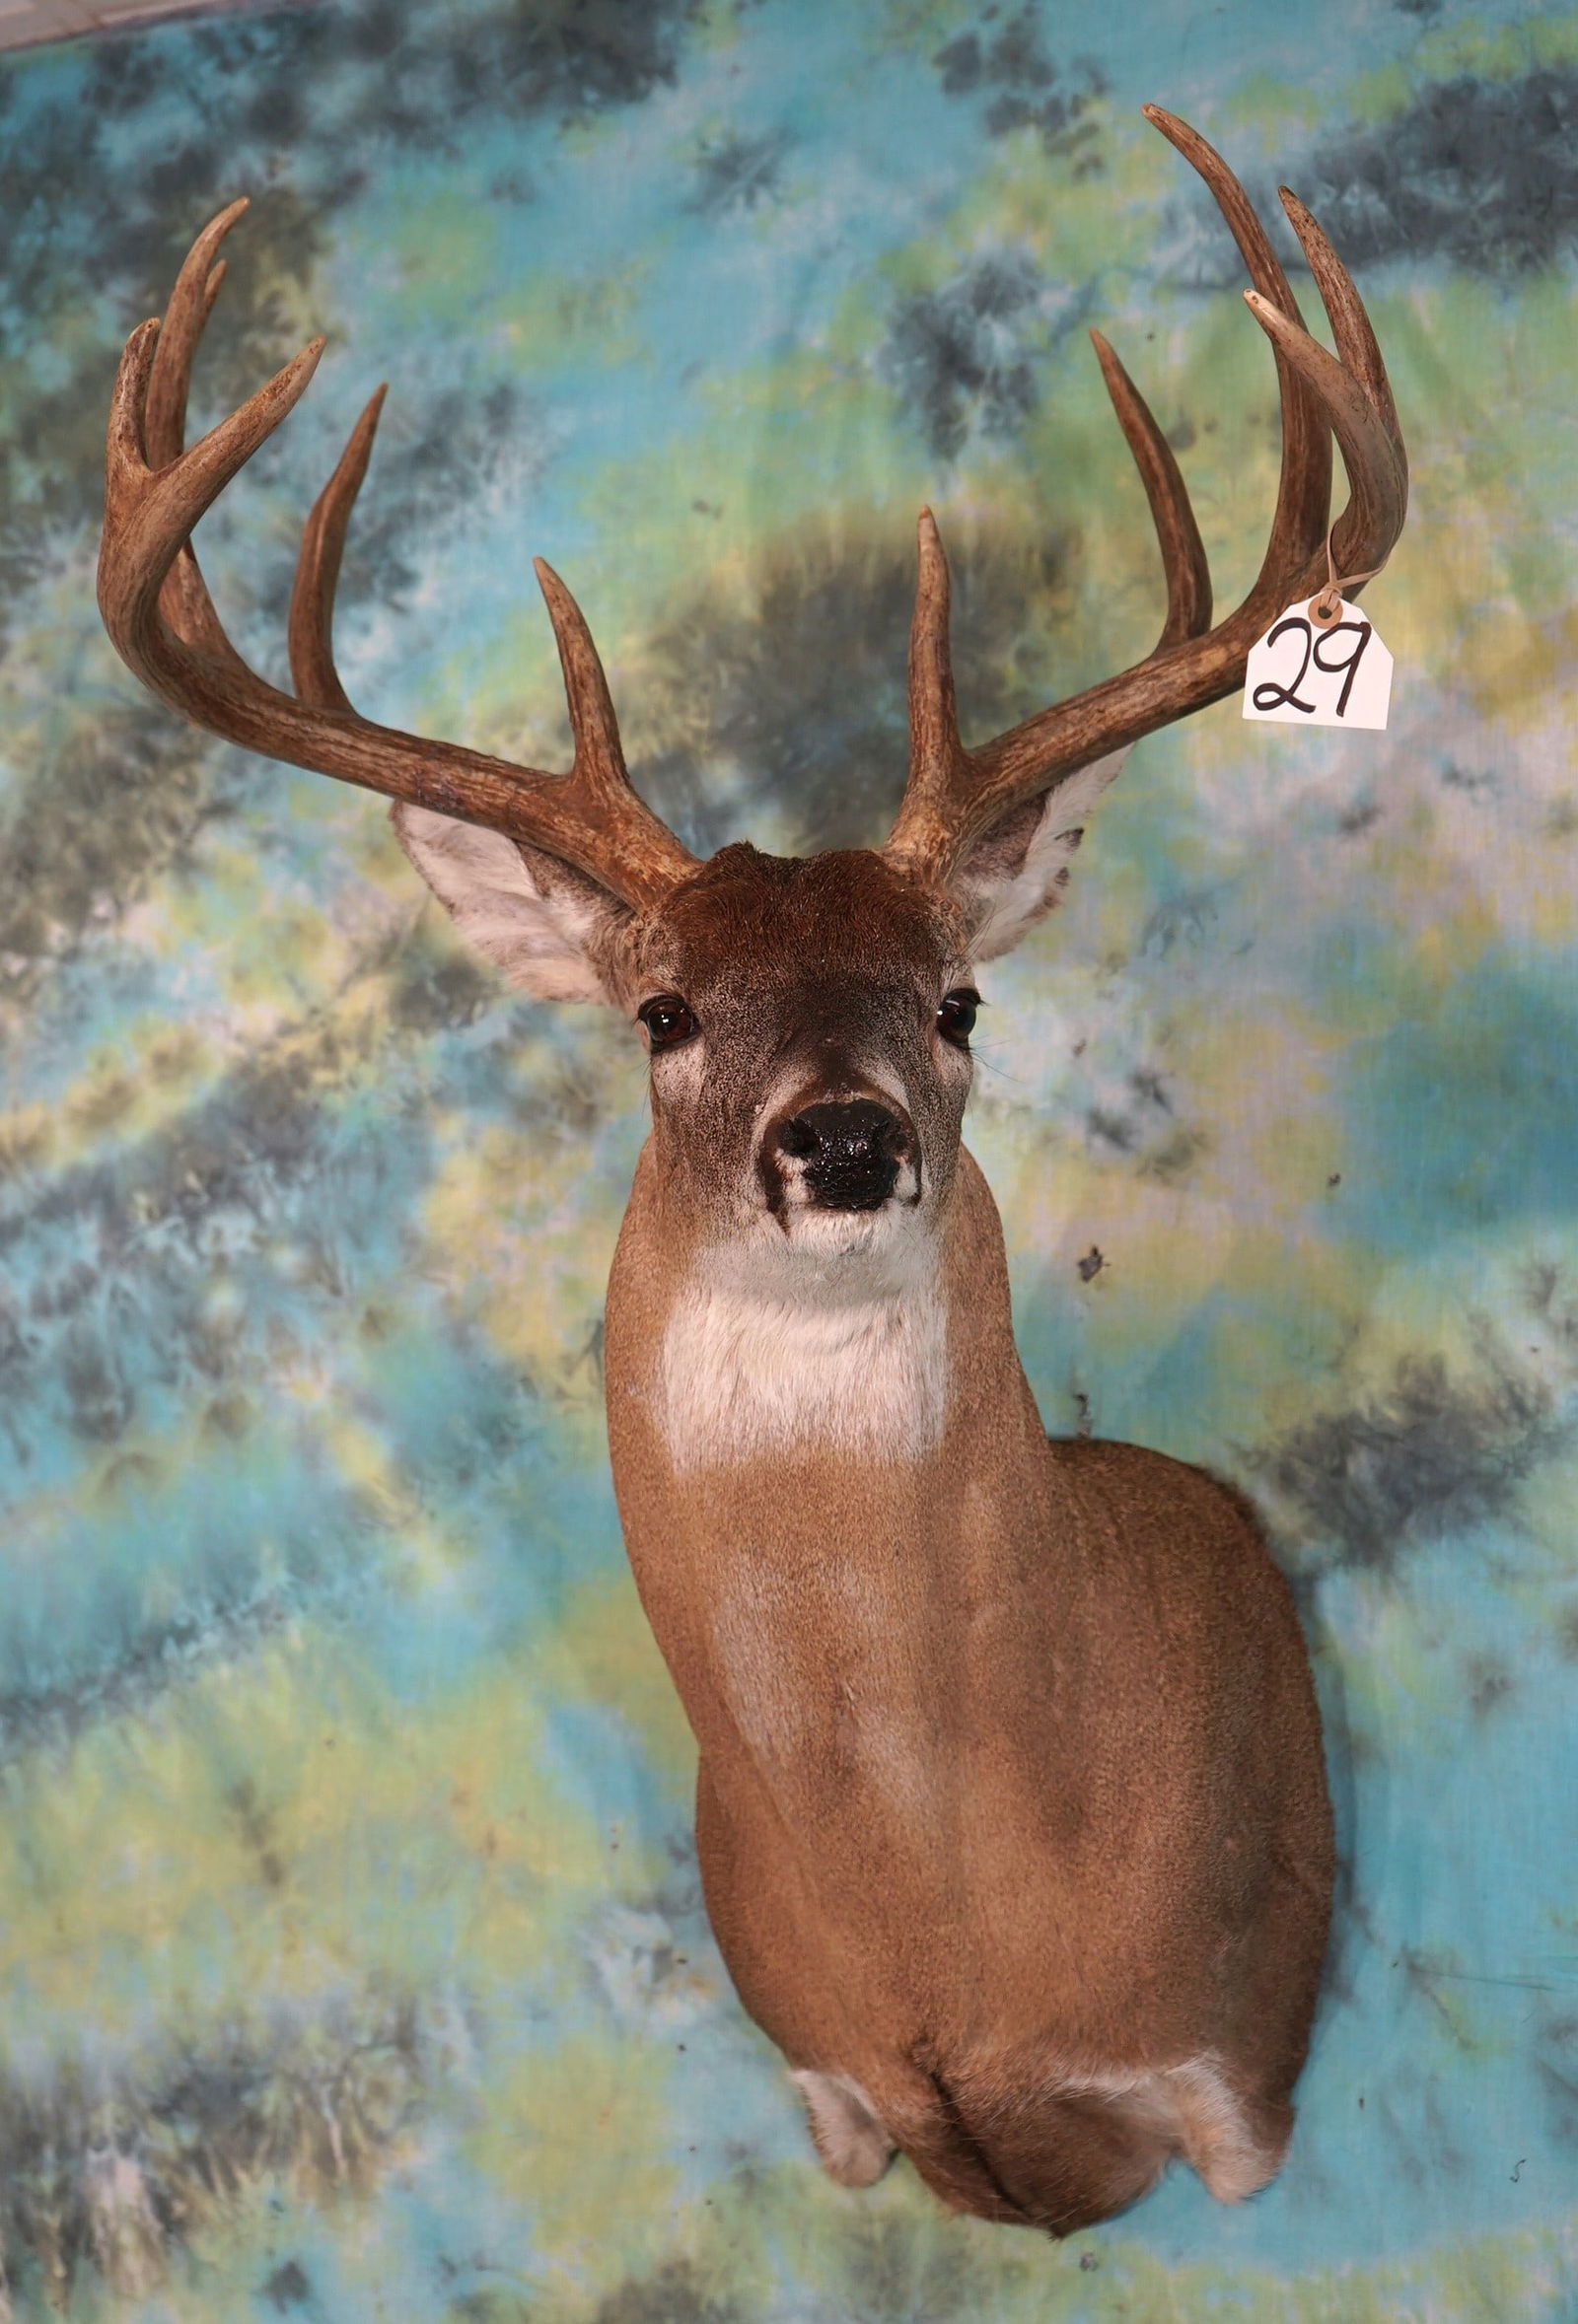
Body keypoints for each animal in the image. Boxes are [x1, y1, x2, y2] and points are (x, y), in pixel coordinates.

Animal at [98, 107, 1406, 2234]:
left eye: (957, 997)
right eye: (661, 1010)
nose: (844, 1135)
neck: (934, 1931)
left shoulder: (1231, 2061)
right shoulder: (820, 2079)